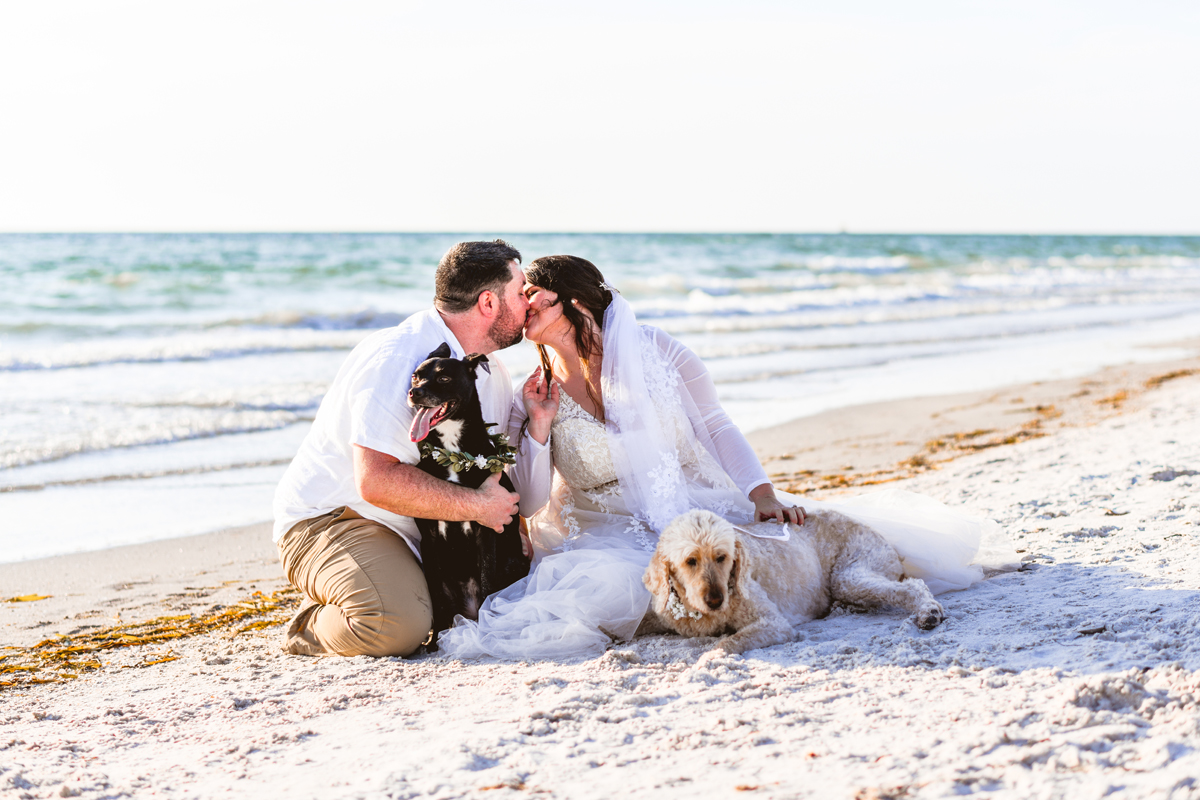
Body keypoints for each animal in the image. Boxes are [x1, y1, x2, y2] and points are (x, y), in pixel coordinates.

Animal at [408, 340, 530, 647]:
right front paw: (433, 642)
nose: (414, 393)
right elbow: (436, 598)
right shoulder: (428, 539)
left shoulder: (486, 531)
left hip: (514, 562)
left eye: (443, 378)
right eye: (415, 377)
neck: (453, 454)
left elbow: (487, 584)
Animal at [643, 510, 940, 652]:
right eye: (690, 561)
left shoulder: (774, 624)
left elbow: (728, 642)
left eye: (722, 557)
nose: (715, 600)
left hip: (850, 575)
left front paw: (709, 659)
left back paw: (929, 612)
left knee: (912, 586)